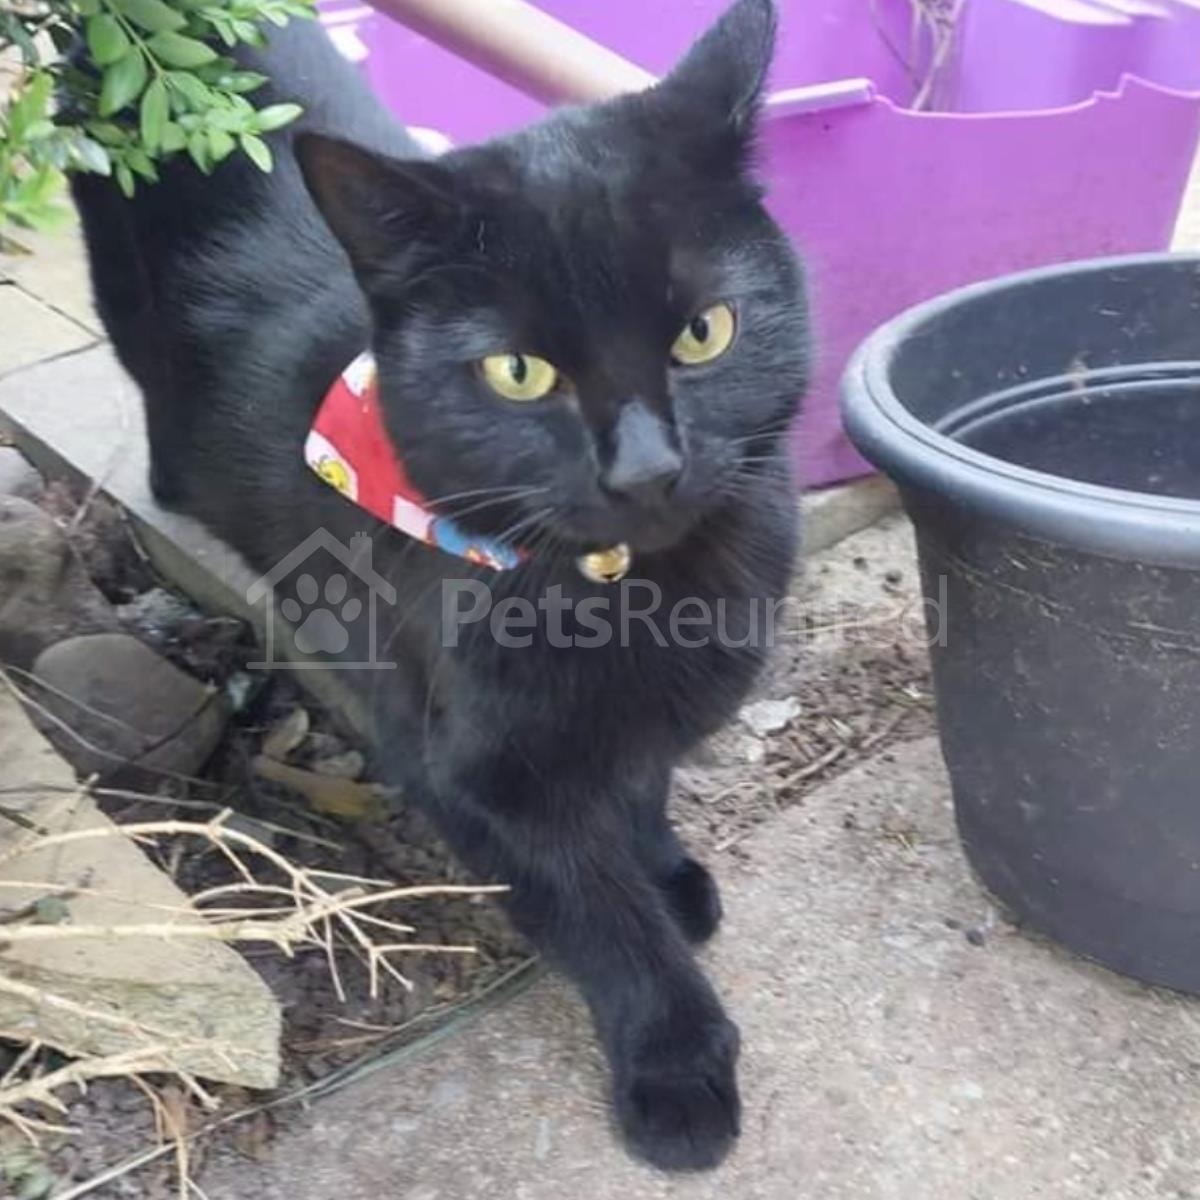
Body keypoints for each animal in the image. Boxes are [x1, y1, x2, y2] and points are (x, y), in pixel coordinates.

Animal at [72, 0, 808, 1171]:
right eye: (519, 373)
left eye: (705, 333)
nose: (647, 469)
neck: (632, 594)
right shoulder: (469, 772)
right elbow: (599, 913)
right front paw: (677, 1068)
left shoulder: (644, 711)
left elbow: (639, 783)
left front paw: (665, 868)